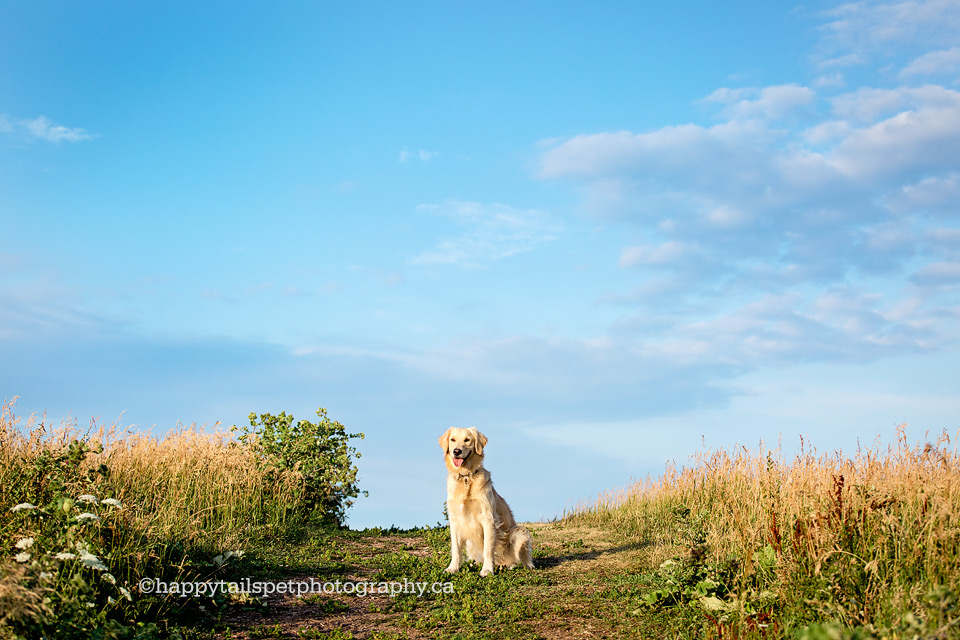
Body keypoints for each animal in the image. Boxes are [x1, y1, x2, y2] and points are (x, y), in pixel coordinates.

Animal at [440, 428, 536, 576]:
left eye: (467, 440)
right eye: (453, 440)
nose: (456, 451)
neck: (466, 478)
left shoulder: (488, 519)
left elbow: (488, 549)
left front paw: (487, 570)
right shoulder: (455, 520)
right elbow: (455, 549)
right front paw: (452, 568)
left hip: (519, 532)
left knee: (522, 561)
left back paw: (512, 565)